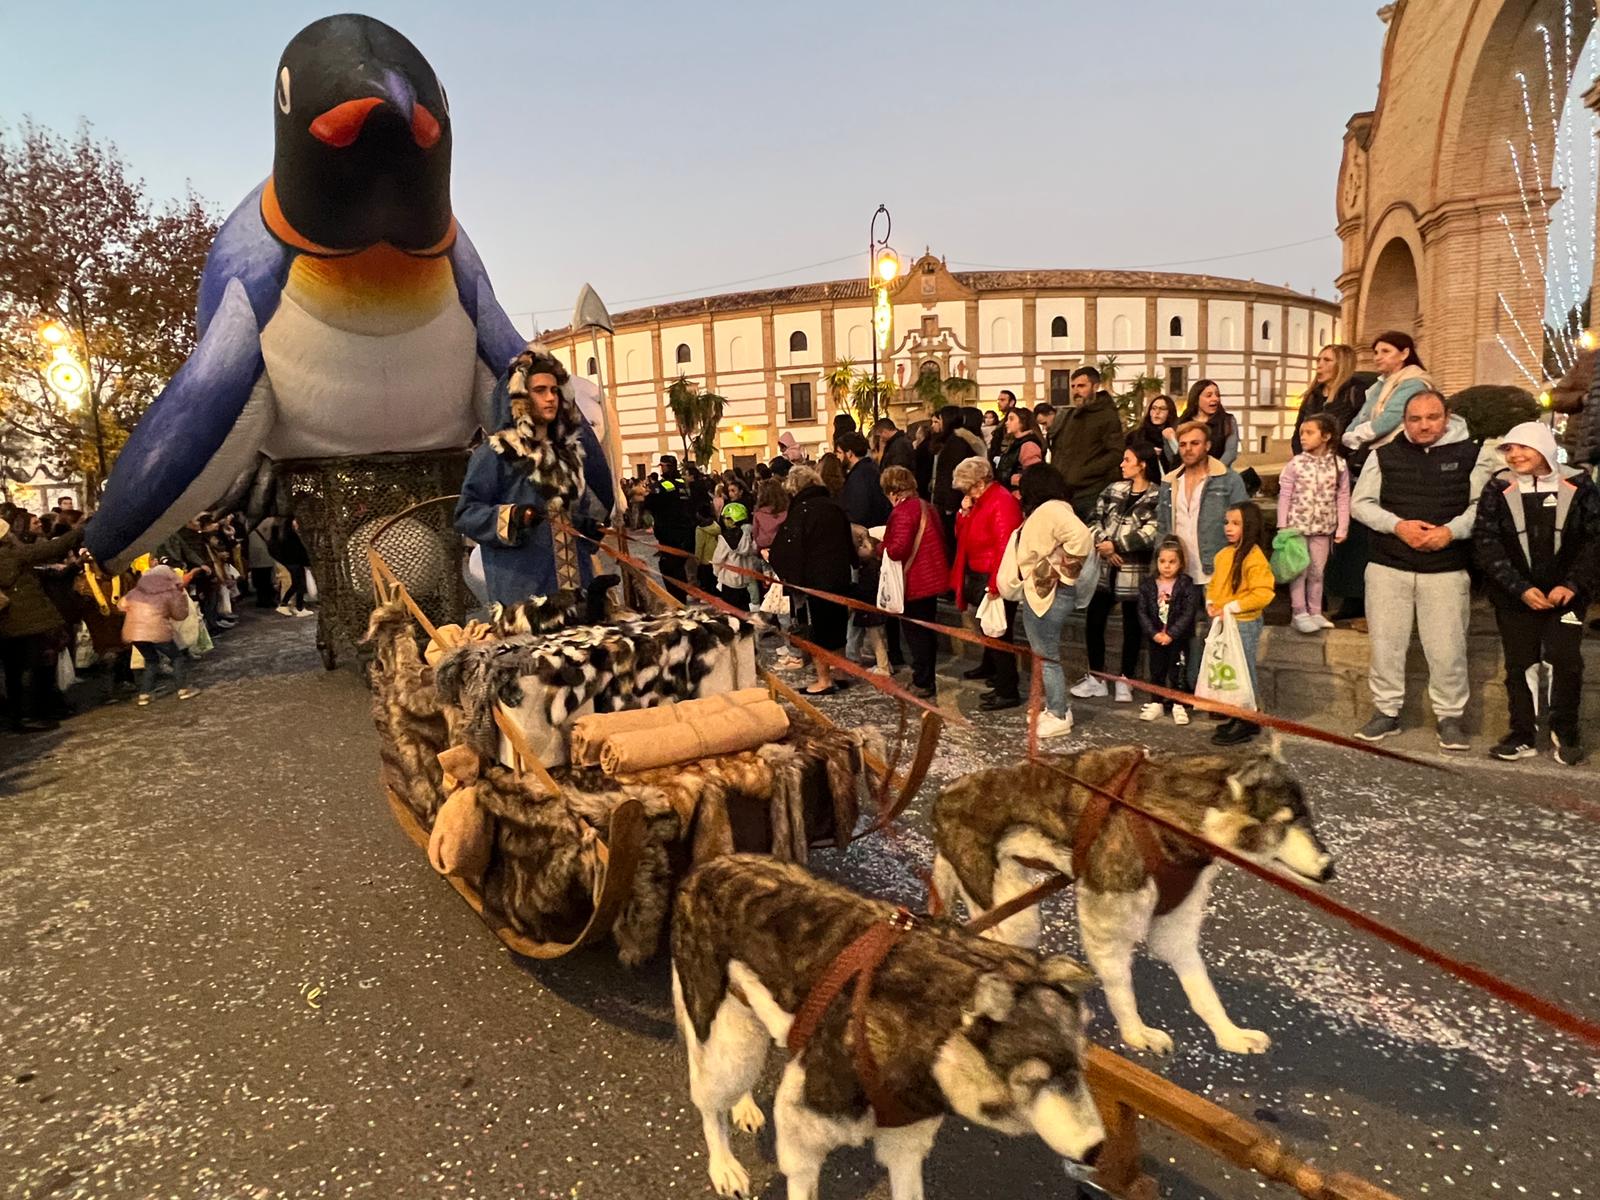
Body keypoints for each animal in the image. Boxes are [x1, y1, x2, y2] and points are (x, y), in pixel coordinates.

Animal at [668, 857, 1107, 1200]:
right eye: (1036, 1081)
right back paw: (724, 1164)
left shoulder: (906, 1144)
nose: (1098, 1152)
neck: (938, 1039)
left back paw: (742, 1106)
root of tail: (707, 867)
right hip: (726, 1043)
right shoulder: (802, 1131)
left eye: (1080, 1071)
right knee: (710, 1103)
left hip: (747, 1027)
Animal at [934, 748, 1331, 1056]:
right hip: (1013, 915)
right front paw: (1136, 1033)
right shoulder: (1105, 924)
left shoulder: (1176, 926)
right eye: (1281, 823)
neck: (1166, 816)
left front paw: (1229, 1034)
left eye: (1308, 818)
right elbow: (1121, 988)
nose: (1330, 869)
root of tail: (943, 797)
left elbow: (1203, 991)